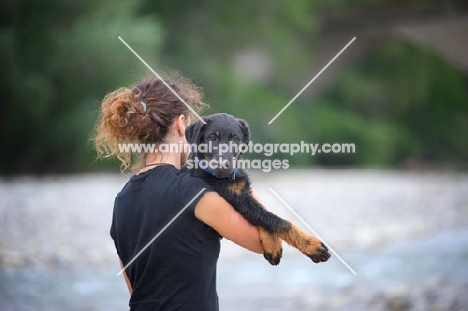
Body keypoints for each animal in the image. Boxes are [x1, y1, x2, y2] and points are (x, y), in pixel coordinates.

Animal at [181, 112, 330, 266]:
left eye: (235, 138)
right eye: (212, 137)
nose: (224, 164)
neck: (224, 177)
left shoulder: (246, 193)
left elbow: (264, 217)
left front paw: (272, 244)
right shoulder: (237, 198)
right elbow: (277, 221)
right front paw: (311, 245)